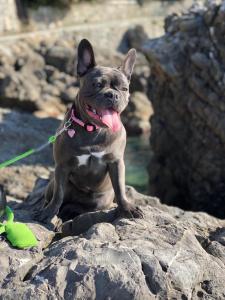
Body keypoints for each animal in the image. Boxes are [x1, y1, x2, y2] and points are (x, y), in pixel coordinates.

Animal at [36, 38, 143, 223]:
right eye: (97, 84)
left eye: (124, 89)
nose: (112, 95)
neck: (93, 129)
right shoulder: (62, 166)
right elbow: (58, 195)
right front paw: (49, 213)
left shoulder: (116, 163)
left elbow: (120, 188)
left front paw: (127, 208)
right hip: (53, 183)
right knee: (56, 196)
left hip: (101, 200)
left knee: (83, 207)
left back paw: (72, 210)